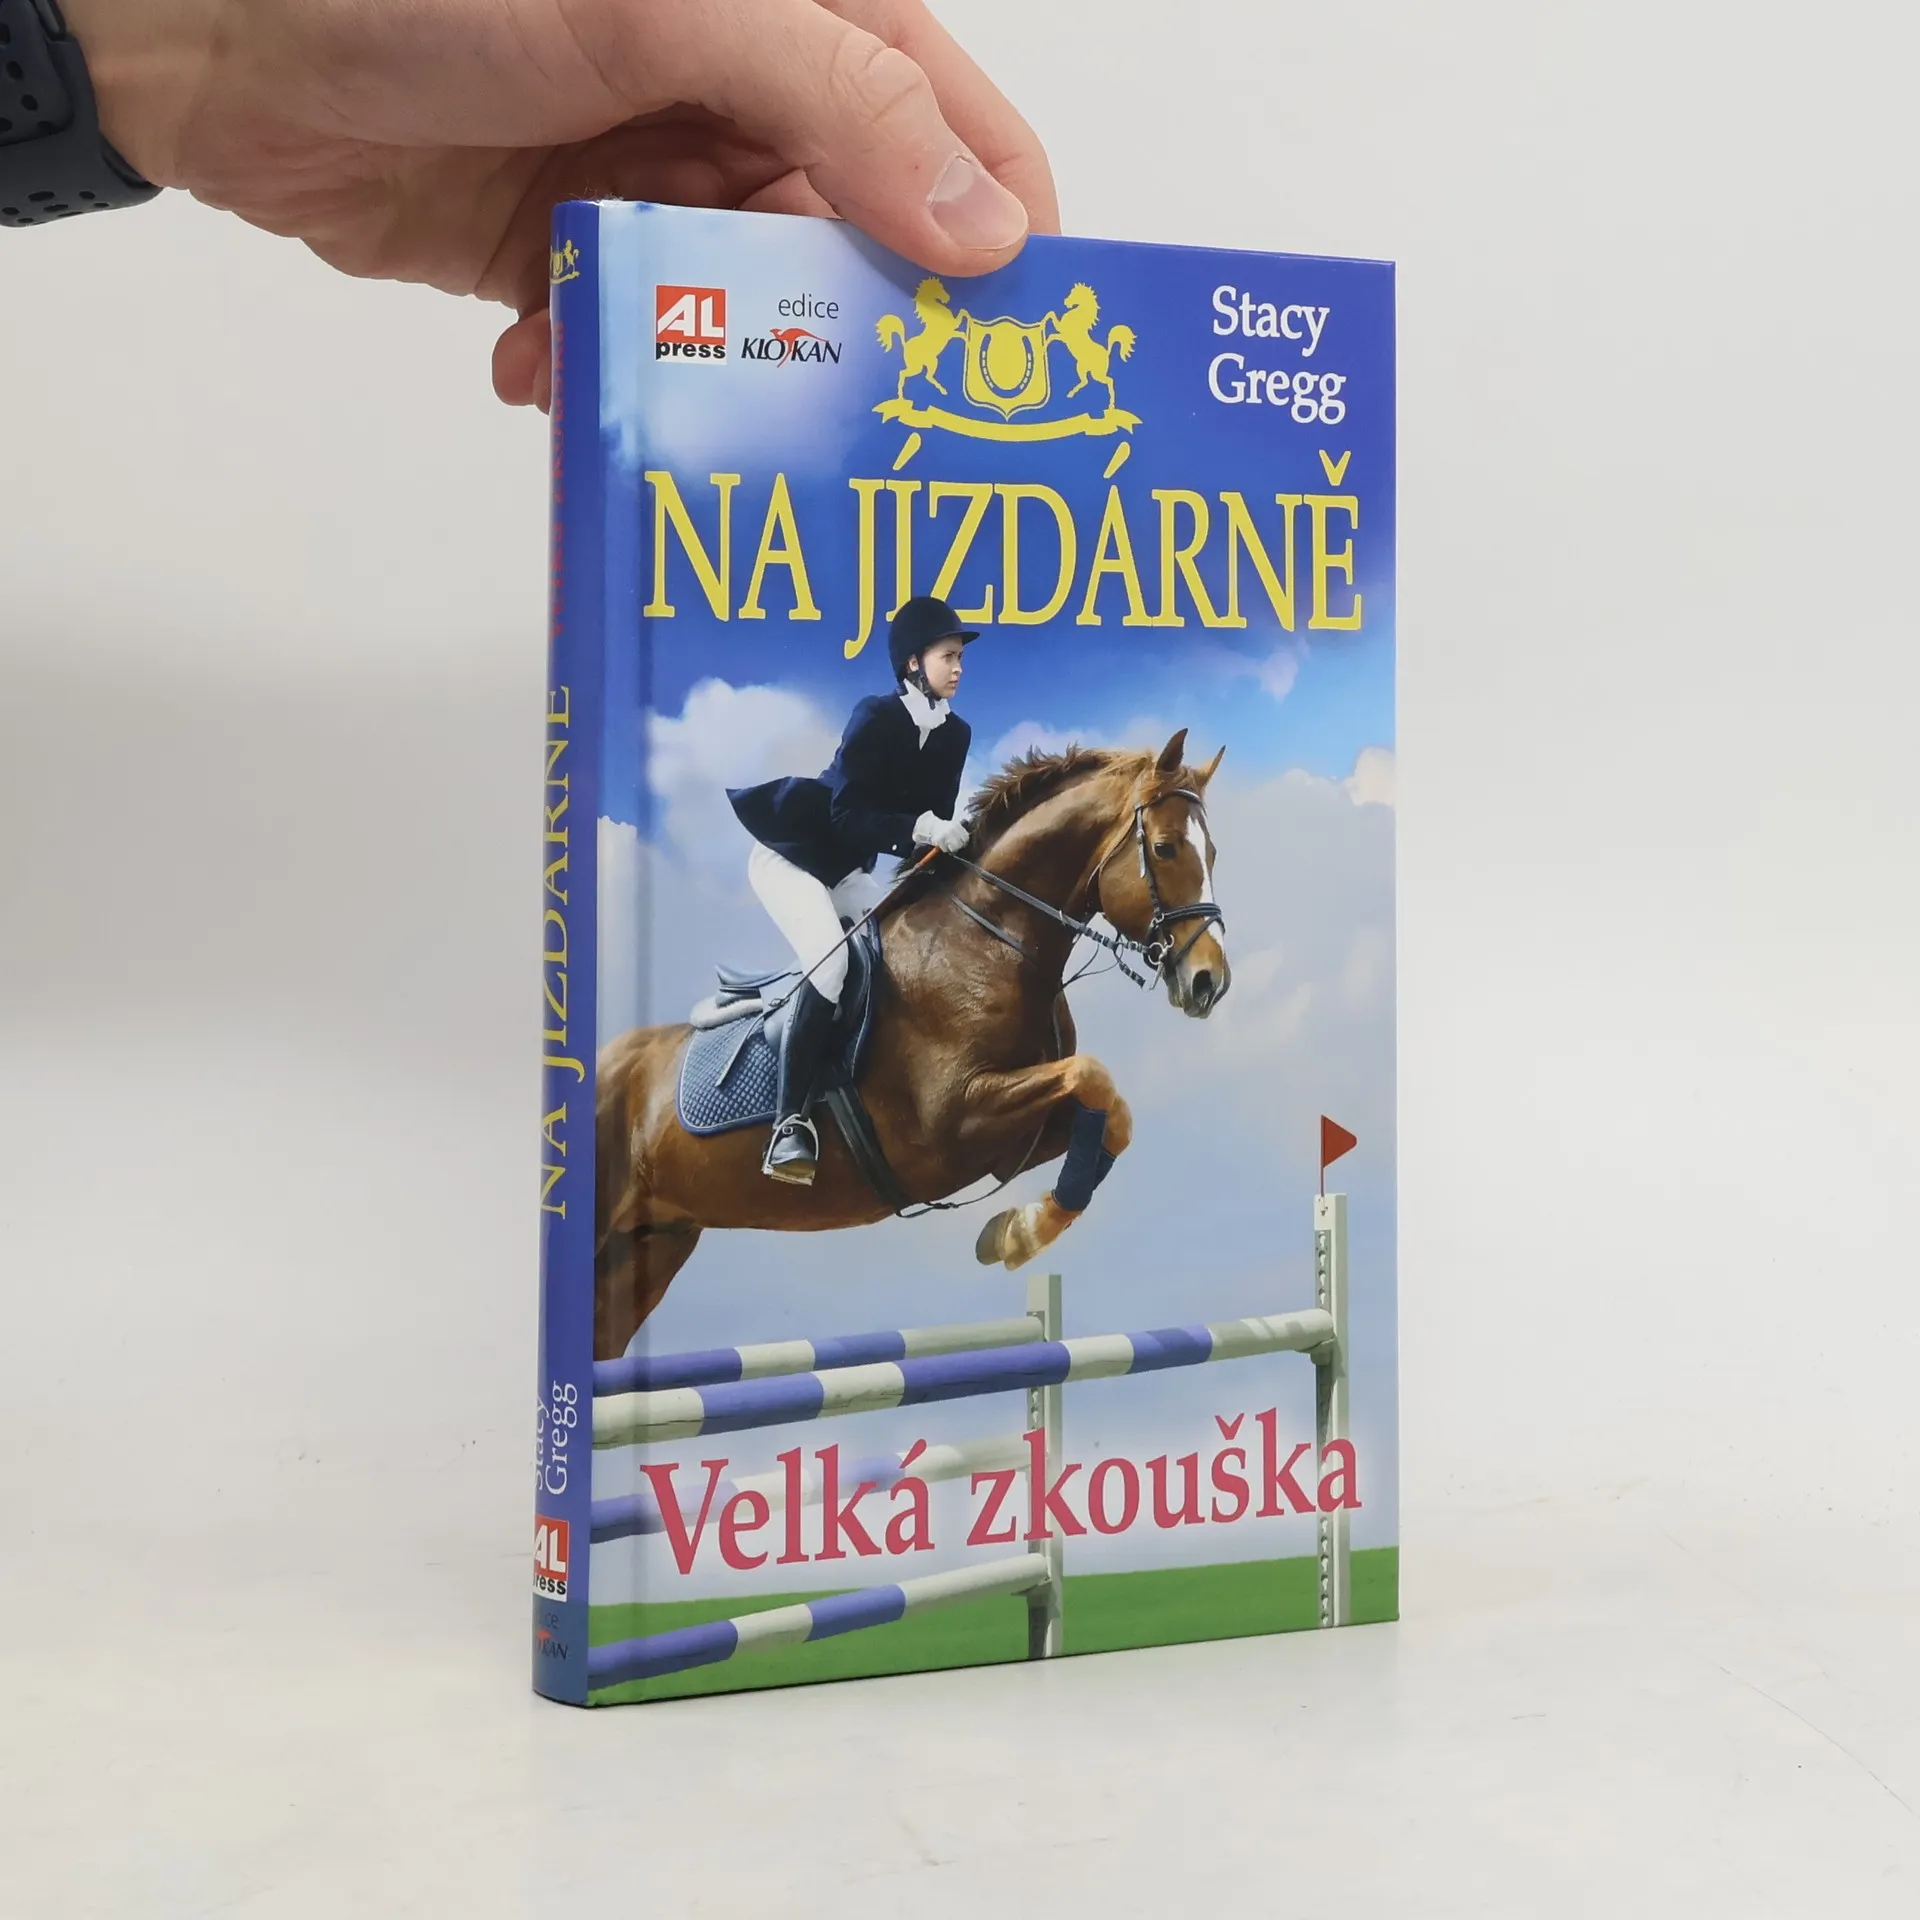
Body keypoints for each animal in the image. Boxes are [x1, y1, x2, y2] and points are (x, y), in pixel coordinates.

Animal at [591, 730, 1230, 1362]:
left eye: (1214, 854)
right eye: (1166, 849)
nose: (1209, 982)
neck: (990, 940)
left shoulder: (1012, 1139)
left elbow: (1111, 1115)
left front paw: (1017, 1232)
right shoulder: (955, 1119)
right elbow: (1091, 1076)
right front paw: (1023, 1234)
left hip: (648, 1247)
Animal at [1048, 283, 1136, 413]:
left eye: (1075, 294)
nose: (1065, 301)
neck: (1079, 316)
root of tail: (1107, 353)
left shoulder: (1062, 335)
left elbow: (1051, 330)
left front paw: (1043, 346)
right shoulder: (1062, 334)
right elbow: (1051, 315)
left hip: (1096, 373)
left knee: (1109, 380)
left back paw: (1111, 405)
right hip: (1082, 367)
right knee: (1086, 381)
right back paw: (1071, 393)